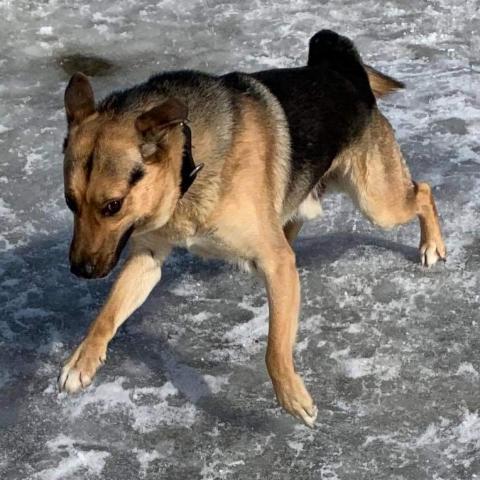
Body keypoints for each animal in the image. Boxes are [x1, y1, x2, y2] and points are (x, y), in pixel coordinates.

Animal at [59, 31, 446, 428]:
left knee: (423, 192)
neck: (189, 163)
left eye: (112, 206)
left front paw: (292, 396)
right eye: (70, 202)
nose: (79, 270)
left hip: (377, 201)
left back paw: (432, 245)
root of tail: (342, 69)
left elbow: (275, 348)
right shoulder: (148, 256)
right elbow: (108, 313)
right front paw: (83, 359)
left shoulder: (275, 261)